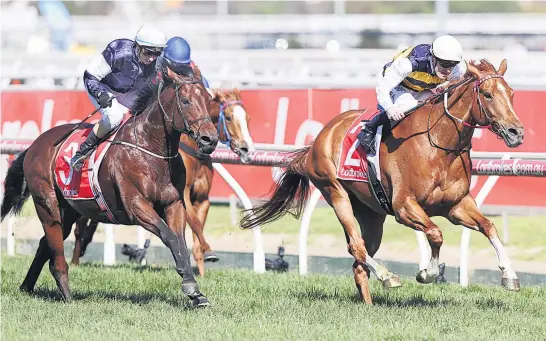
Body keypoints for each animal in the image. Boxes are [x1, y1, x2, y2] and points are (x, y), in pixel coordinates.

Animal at [2, 65, 219, 306]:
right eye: (185, 100)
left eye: (208, 99)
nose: (210, 139)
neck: (151, 149)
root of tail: (35, 144)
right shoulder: (136, 206)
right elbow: (170, 236)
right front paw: (190, 285)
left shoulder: (174, 203)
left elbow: (179, 242)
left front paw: (195, 292)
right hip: (47, 206)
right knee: (55, 253)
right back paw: (68, 296)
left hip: (69, 209)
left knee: (44, 244)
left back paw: (26, 286)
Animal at [69, 89, 254, 278]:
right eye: (229, 117)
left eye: (247, 117)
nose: (246, 148)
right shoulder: (183, 195)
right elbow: (195, 223)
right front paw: (208, 251)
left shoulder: (202, 198)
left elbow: (198, 227)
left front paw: (201, 266)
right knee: (80, 227)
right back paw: (75, 260)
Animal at [238, 59, 524, 304]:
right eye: (487, 94)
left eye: (511, 94)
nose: (516, 132)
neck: (439, 145)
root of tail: (320, 137)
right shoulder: (404, 207)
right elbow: (435, 233)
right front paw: (427, 273)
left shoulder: (456, 206)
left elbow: (488, 226)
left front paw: (509, 275)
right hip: (335, 191)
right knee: (356, 246)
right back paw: (387, 276)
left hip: (372, 214)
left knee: (360, 261)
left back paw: (369, 302)